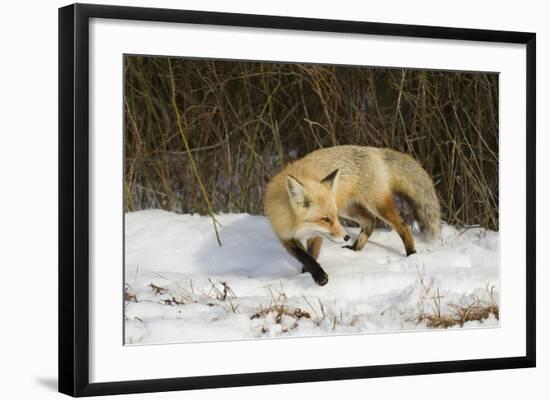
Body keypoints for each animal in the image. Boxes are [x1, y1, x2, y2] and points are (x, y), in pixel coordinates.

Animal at [266, 145, 442, 286]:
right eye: (325, 219)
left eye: (333, 218)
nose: (345, 237)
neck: (294, 223)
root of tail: (374, 150)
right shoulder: (285, 236)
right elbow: (305, 257)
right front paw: (312, 275)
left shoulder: (316, 235)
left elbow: (312, 255)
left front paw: (315, 277)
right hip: (349, 209)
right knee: (370, 221)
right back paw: (355, 249)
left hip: (376, 205)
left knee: (402, 225)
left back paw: (411, 254)